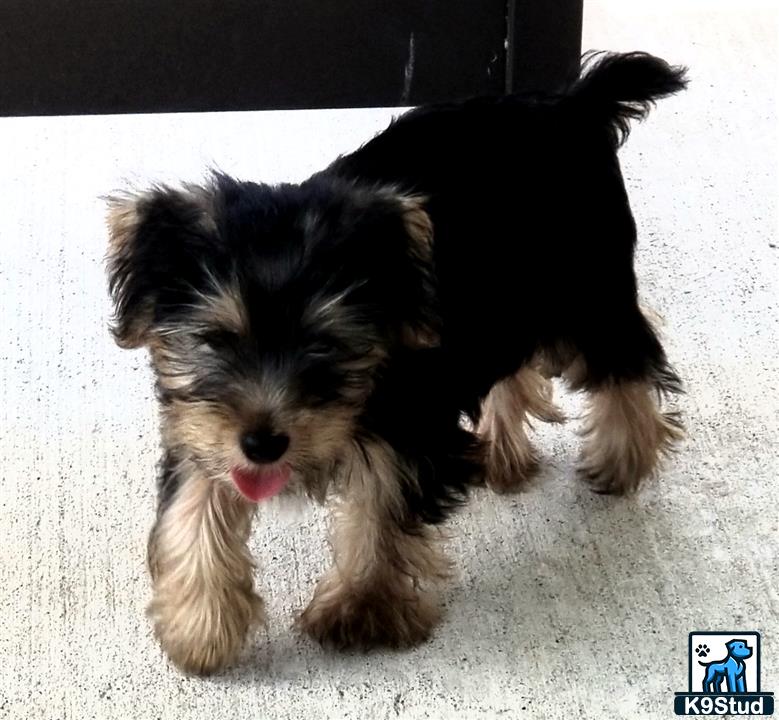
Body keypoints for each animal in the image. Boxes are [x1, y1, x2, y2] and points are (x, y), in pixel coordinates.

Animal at [105, 50, 688, 676]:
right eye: (216, 340)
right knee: (510, 370)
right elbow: (191, 514)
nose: (264, 444)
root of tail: (575, 104)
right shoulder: (203, 427)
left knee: (625, 363)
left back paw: (623, 459)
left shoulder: (404, 423)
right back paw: (499, 452)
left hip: (585, 289)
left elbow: (380, 511)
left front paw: (360, 611)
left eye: (325, 344)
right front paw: (200, 626)